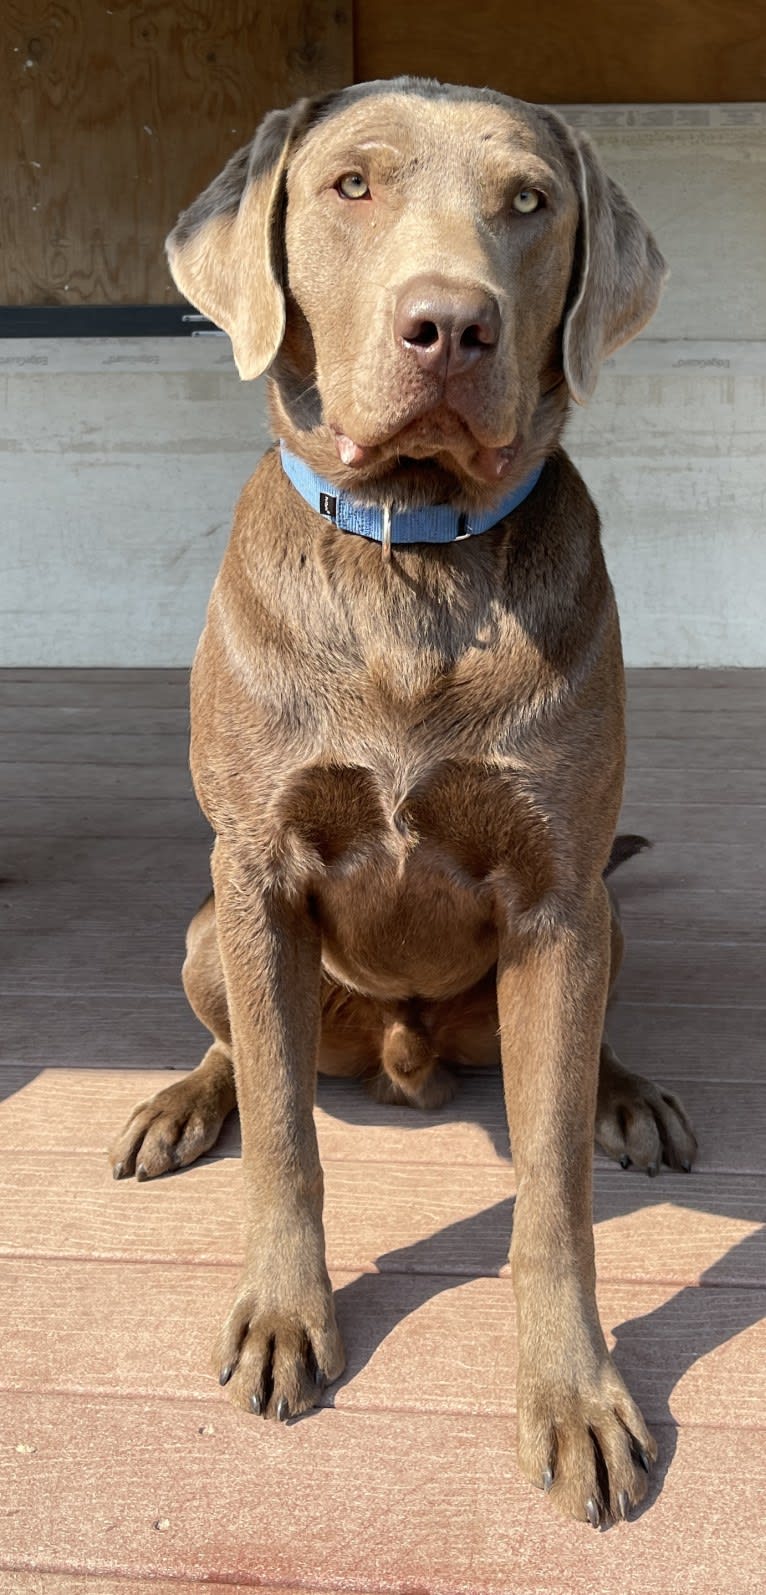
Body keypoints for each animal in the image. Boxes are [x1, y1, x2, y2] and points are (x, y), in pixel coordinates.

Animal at [110, 80, 695, 1524]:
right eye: (351, 186)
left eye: (528, 201)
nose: (449, 324)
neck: (414, 558)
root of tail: (404, 1051)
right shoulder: (257, 877)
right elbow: (283, 1136)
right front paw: (284, 1315)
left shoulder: (555, 895)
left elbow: (550, 1188)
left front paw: (572, 1391)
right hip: (206, 929)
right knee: (243, 1050)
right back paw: (179, 1101)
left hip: (599, 923)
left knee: (584, 1037)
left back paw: (625, 1091)